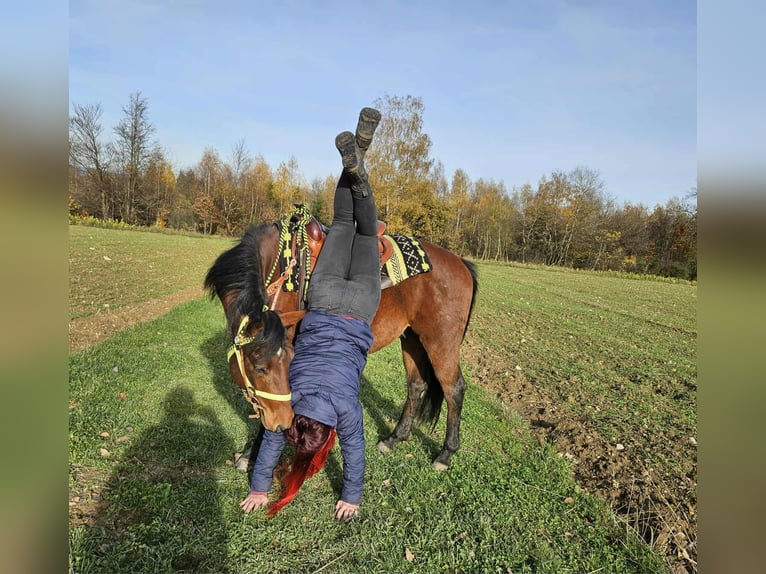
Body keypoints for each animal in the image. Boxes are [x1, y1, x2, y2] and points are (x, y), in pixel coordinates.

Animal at [204, 211, 478, 469]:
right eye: (259, 368)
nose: (282, 425)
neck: (281, 270)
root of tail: (460, 262)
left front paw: (253, 454)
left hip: (440, 342)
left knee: (454, 390)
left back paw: (445, 454)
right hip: (412, 339)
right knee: (416, 386)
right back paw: (393, 439)